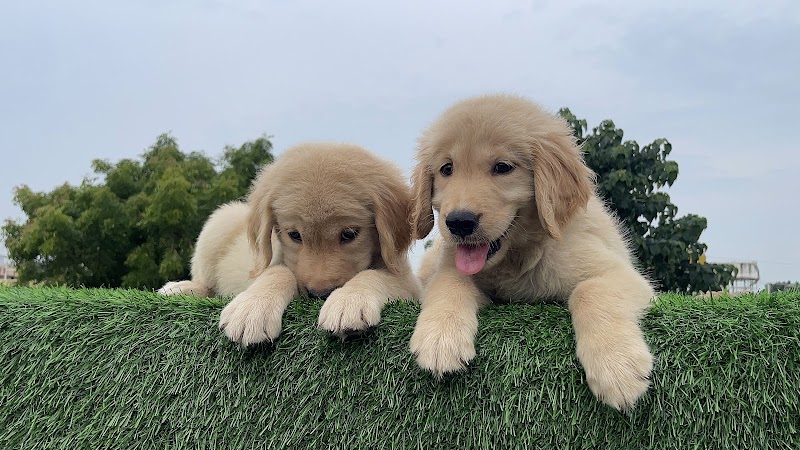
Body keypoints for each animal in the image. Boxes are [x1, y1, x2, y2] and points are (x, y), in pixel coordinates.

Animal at [159, 142, 421, 344]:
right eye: (294, 235)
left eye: (349, 234)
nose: (319, 295)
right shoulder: (271, 261)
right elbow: (278, 272)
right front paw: (252, 309)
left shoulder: (407, 282)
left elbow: (374, 275)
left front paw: (348, 301)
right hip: (219, 223)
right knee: (206, 284)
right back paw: (181, 288)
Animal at [408, 94, 655, 411]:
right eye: (447, 169)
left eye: (502, 167)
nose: (459, 222)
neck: (518, 256)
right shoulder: (452, 264)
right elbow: (449, 281)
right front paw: (440, 338)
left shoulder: (620, 273)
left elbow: (590, 291)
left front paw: (617, 367)